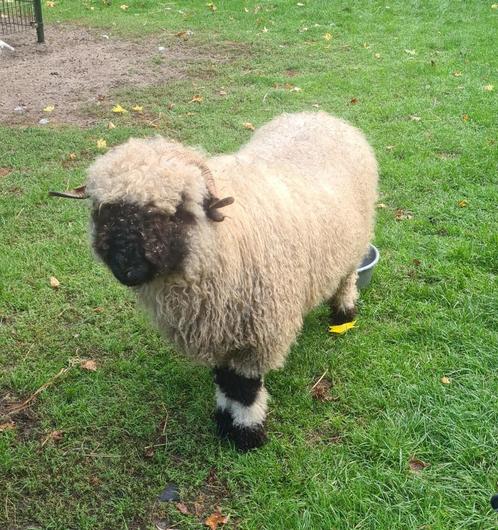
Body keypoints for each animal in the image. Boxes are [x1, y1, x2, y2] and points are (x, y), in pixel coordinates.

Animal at [51, 111, 378, 450]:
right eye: (103, 210)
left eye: (173, 212)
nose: (127, 269)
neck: (218, 243)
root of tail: (319, 115)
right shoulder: (219, 329)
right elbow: (224, 381)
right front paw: (224, 421)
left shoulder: (258, 335)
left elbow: (243, 389)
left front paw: (248, 435)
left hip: (353, 247)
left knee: (347, 280)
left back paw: (343, 315)